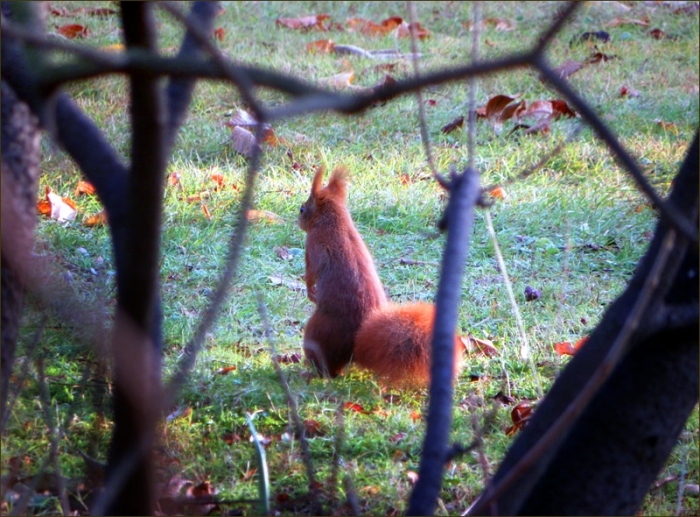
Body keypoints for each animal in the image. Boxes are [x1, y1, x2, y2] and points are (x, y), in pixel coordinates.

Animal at [298, 166, 387, 377]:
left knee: (329, 370)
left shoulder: (314, 245)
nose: (298, 220)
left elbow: (312, 272)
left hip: (319, 334)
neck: (334, 222)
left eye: (302, 209)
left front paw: (310, 291)